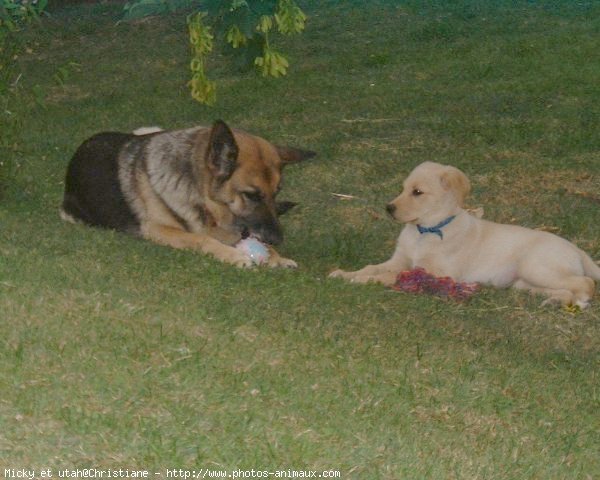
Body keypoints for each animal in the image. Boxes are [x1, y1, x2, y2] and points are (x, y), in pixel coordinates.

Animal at [60, 120, 314, 268]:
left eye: (276, 192)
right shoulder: (156, 229)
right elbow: (200, 239)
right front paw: (234, 255)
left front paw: (275, 256)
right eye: (251, 195)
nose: (277, 240)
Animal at [330, 159, 600, 306]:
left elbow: (391, 276)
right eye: (403, 189)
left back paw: (580, 301)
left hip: (536, 267)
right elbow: (374, 268)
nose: (389, 208)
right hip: (524, 281)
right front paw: (346, 274)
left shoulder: (437, 272)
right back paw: (553, 301)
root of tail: (578, 250)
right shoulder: (399, 260)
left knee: (585, 283)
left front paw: (361, 280)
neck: (426, 230)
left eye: (417, 192)